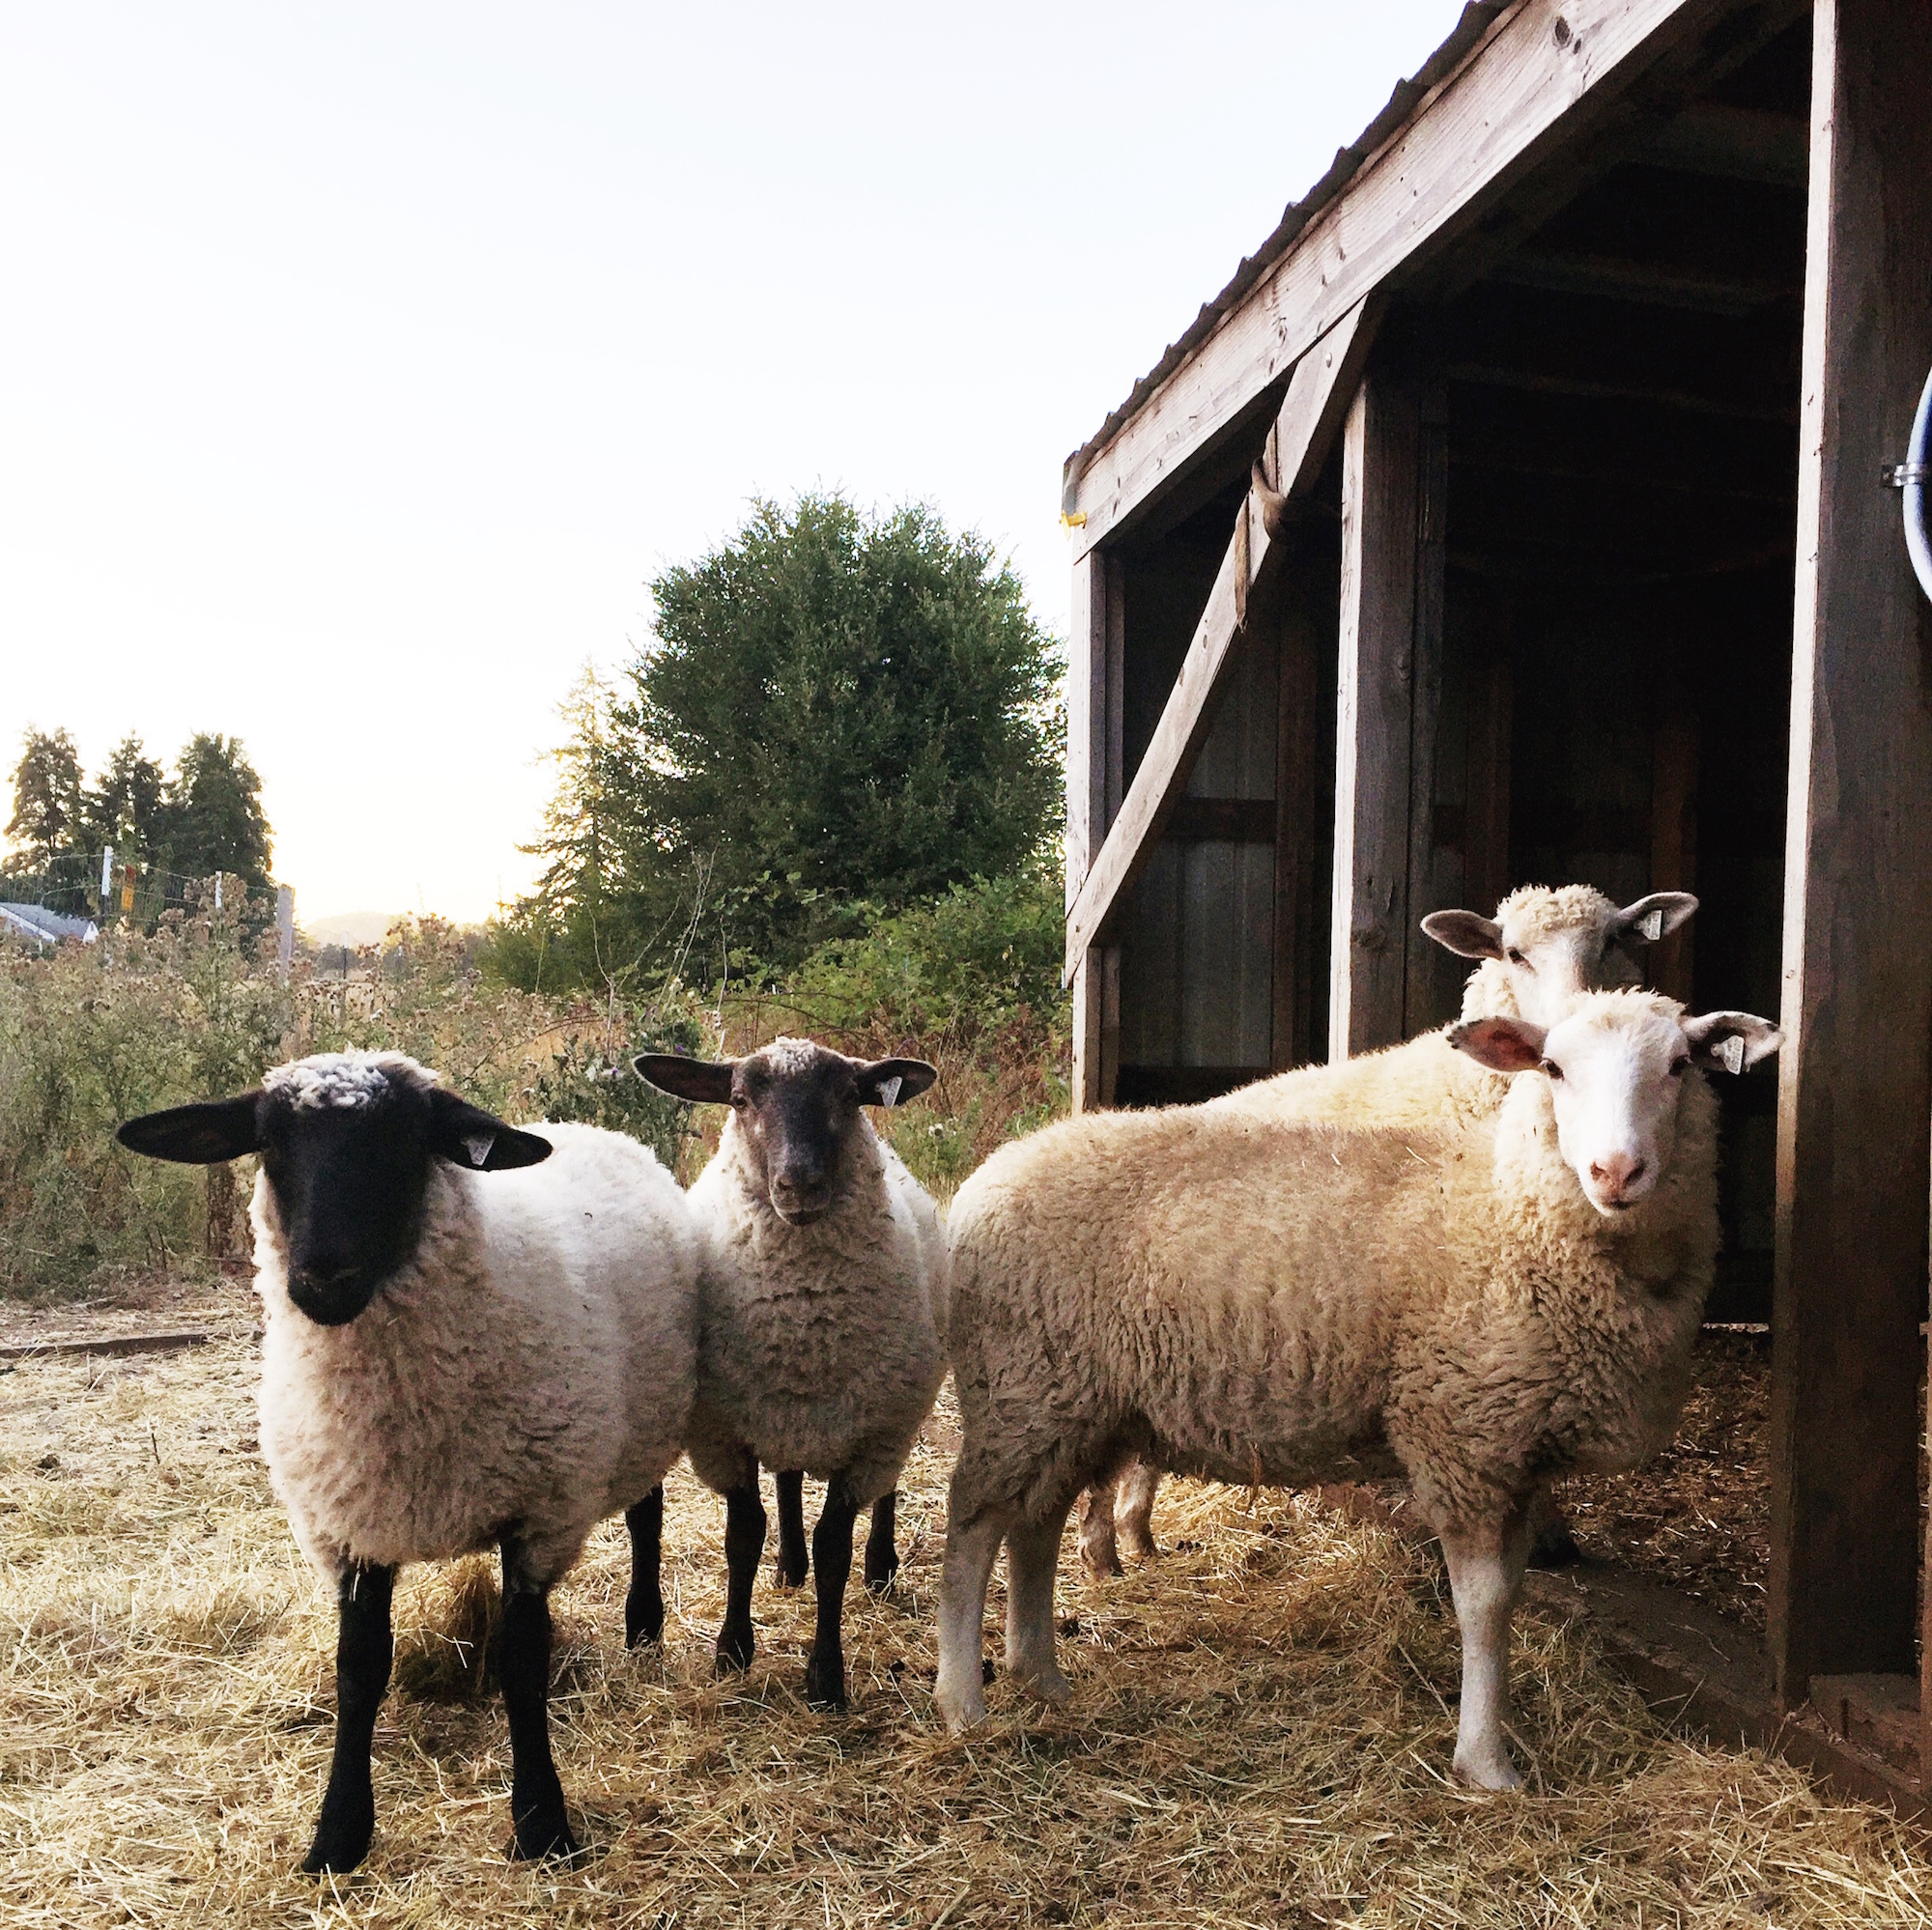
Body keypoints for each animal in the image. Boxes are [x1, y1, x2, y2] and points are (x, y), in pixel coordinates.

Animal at [114, 1051, 698, 1874]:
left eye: (403, 1142)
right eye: (271, 1143)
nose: (321, 1279)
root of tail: (587, 1128)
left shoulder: (539, 1516)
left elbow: (523, 1666)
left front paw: (543, 1826)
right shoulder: (347, 1525)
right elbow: (359, 1671)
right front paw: (337, 1836)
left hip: (649, 1416)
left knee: (647, 1513)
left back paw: (643, 1627)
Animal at [635, 1038, 947, 1711]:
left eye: (849, 1096)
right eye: (739, 1099)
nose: (798, 1185)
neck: (804, 1317)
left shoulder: (869, 1439)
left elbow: (836, 1551)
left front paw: (826, 1675)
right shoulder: (726, 1433)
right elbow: (743, 1536)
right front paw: (732, 1649)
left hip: (893, 1414)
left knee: (884, 1494)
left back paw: (880, 1567)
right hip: (783, 1412)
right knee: (788, 1476)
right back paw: (788, 1563)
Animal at [934, 990, 1779, 1788]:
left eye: (1680, 1065)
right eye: (1554, 1068)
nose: (1616, 1171)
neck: (1508, 1208)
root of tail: (983, 1180)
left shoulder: (1513, 1444)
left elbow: (1508, 1591)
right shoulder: (1460, 1433)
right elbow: (1484, 1603)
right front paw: (1485, 1761)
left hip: (1073, 1405)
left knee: (1035, 1527)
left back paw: (1040, 1674)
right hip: (1022, 1386)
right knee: (973, 1526)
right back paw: (962, 1700)